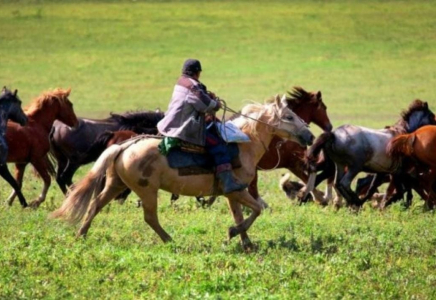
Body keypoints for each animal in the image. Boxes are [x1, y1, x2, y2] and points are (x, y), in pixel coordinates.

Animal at [52, 97, 316, 250]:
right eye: (289, 116)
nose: (310, 136)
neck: (244, 143)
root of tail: (124, 146)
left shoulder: (232, 193)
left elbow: (241, 216)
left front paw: (246, 242)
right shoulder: (239, 191)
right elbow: (257, 210)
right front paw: (232, 234)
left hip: (116, 184)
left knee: (95, 204)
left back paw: (80, 235)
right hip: (146, 191)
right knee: (149, 217)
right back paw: (170, 240)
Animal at [306, 99, 436, 207]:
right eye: (432, 116)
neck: (404, 135)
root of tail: (333, 135)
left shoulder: (383, 172)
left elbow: (373, 188)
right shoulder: (398, 172)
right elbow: (399, 192)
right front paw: (383, 204)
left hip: (340, 164)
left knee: (337, 183)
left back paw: (352, 202)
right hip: (355, 166)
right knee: (344, 183)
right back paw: (354, 200)